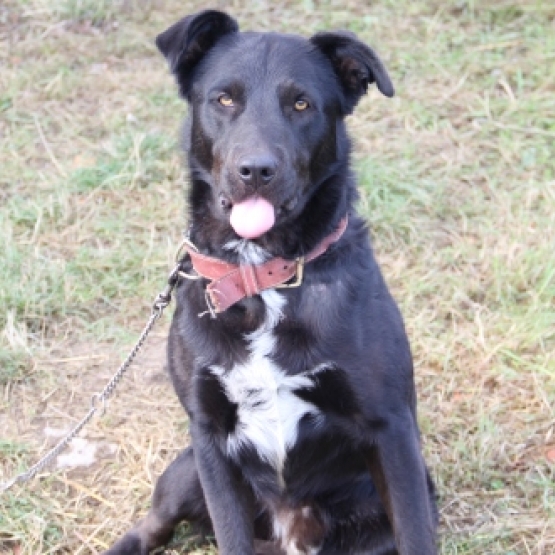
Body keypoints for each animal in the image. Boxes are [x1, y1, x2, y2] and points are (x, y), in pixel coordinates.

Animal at [105, 9, 438, 555]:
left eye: (301, 103)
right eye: (224, 99)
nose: (256, 170)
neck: (261, 276)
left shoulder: (390, 430)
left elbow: (414, 532)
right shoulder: (209, 439)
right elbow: (229, 534)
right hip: (184, 472)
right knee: (150, 526)